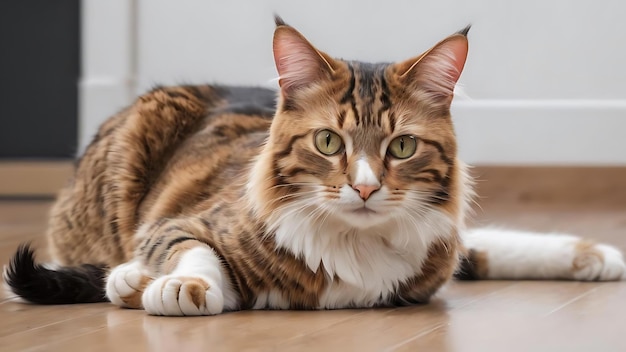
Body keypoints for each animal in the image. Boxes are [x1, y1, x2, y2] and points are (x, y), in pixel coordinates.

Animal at [4, 15, 624, 316]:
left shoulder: (429, 260)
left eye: (402, 148)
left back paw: (593, 255)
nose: (366, 188)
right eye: (328, 142)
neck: (354, 246)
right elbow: (195, 255)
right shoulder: (179, 224)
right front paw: (177, 286)